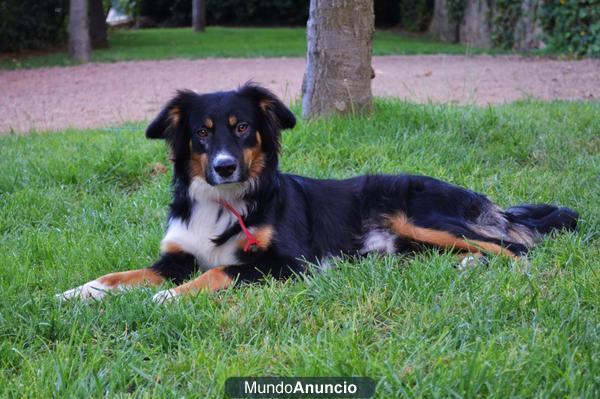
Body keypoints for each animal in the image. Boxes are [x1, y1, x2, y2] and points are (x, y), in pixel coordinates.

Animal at [58, 84, 580, 304]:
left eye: (242, 127)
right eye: (202, 133)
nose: (224, 167)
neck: (227, 201)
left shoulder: (289, 264)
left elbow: (220, 272)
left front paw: (168, 298)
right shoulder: (175, 256)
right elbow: (122, 274)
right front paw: (79, 291)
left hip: (421, 217)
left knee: (516, 246)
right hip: (410, 243)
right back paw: (469, 266)